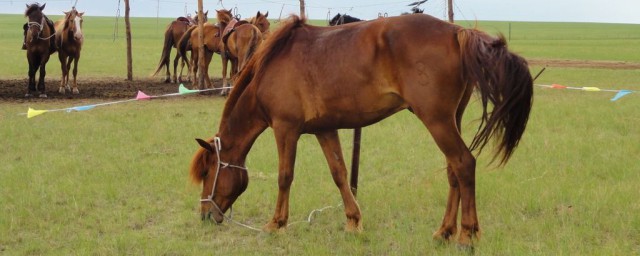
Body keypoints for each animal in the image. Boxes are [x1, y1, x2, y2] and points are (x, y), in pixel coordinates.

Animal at [188, 14, 532, 248]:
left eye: (207, 173)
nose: (204, 215)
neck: (271, 69)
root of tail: (457, 31)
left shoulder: (285, 129)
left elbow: (284, 177)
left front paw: (276, 223)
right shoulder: (325, 129)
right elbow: (340, 174)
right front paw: (353, 222)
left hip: (436, 120)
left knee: (464, 164)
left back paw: (466, 234)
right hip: (451, 120)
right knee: (453, 172)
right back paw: (444, 231)